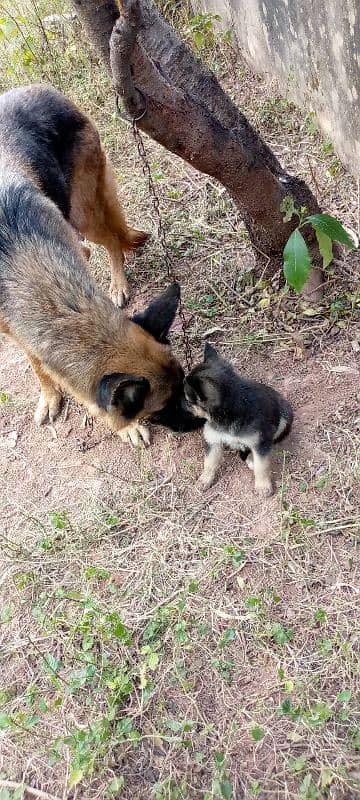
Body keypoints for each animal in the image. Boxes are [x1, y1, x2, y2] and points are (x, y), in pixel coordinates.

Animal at [0, 85, 200, 446]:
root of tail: (38, 88)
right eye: (165, 406)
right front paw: (50, 395)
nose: (203, 420)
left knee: (110, 242)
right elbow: (37, 363)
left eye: (184, 386)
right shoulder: (12, 328)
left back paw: (118, 284)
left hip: (83, 211)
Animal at [184, 344, 294, 494]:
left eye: (189, 402)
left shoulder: (261, 442)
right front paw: (205, 479)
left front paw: (263, 486)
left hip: (284, 417)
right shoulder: (212, 440)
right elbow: (210, 462)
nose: (180, 406)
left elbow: (262, 466)